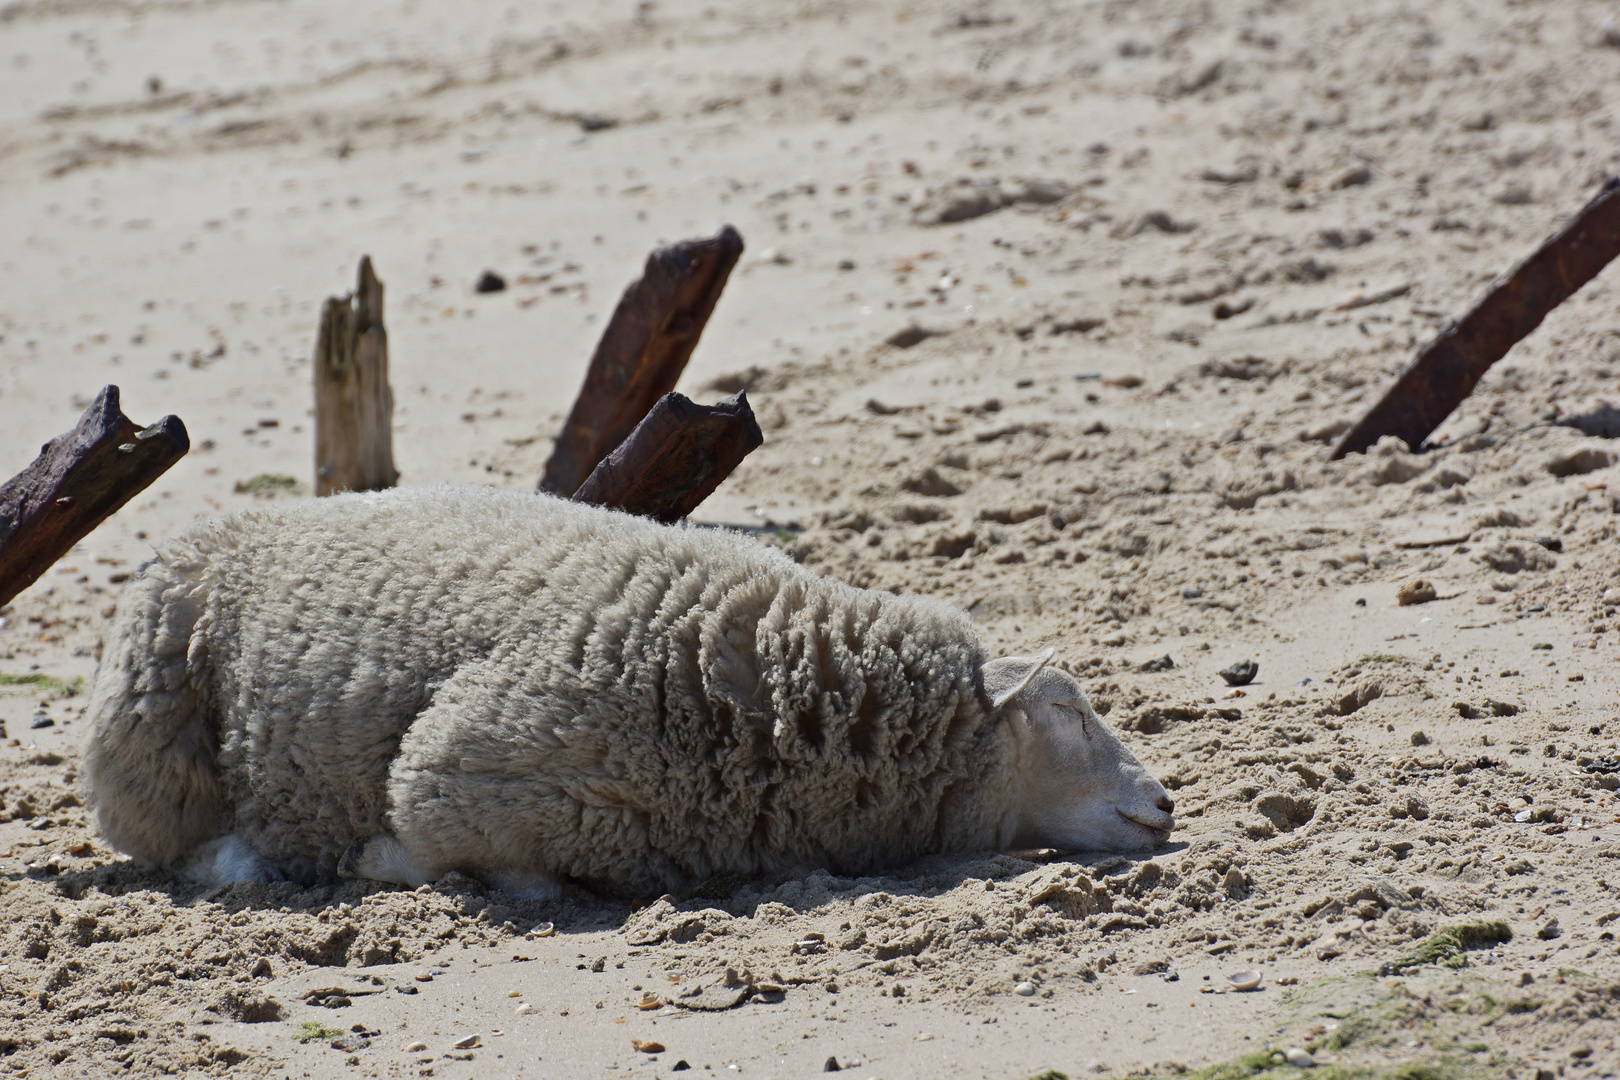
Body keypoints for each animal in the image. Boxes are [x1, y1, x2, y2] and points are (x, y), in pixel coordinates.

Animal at [82, 485, 1172, 900]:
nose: (1165, 800)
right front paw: (382, 862)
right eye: (1067, 708)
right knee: (164, 840)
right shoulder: (453, 770)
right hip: (143, 740)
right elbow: (461, 851)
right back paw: (243, 860)